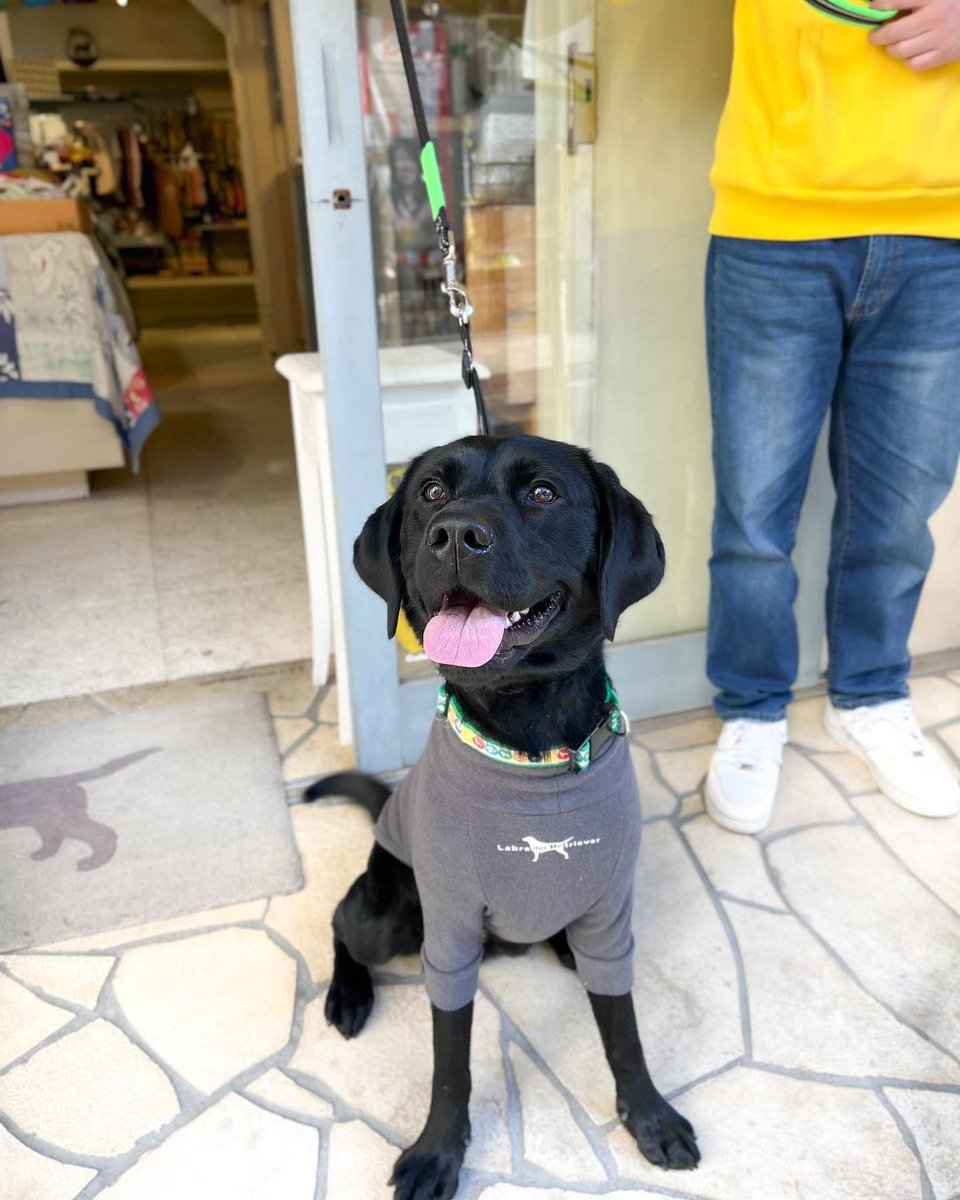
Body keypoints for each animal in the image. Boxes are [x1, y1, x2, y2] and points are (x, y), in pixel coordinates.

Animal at [312, 436, 700, 1200]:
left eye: (544, 493)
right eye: (430, 493)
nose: (456, 533)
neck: (529, 739)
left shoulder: (611, 921)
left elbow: (625, 1035)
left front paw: (650, 1118)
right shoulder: (450, 936)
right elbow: (449, 1063)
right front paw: (436, 1153)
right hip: (386, 913)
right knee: (342, 921)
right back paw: (348, 993)